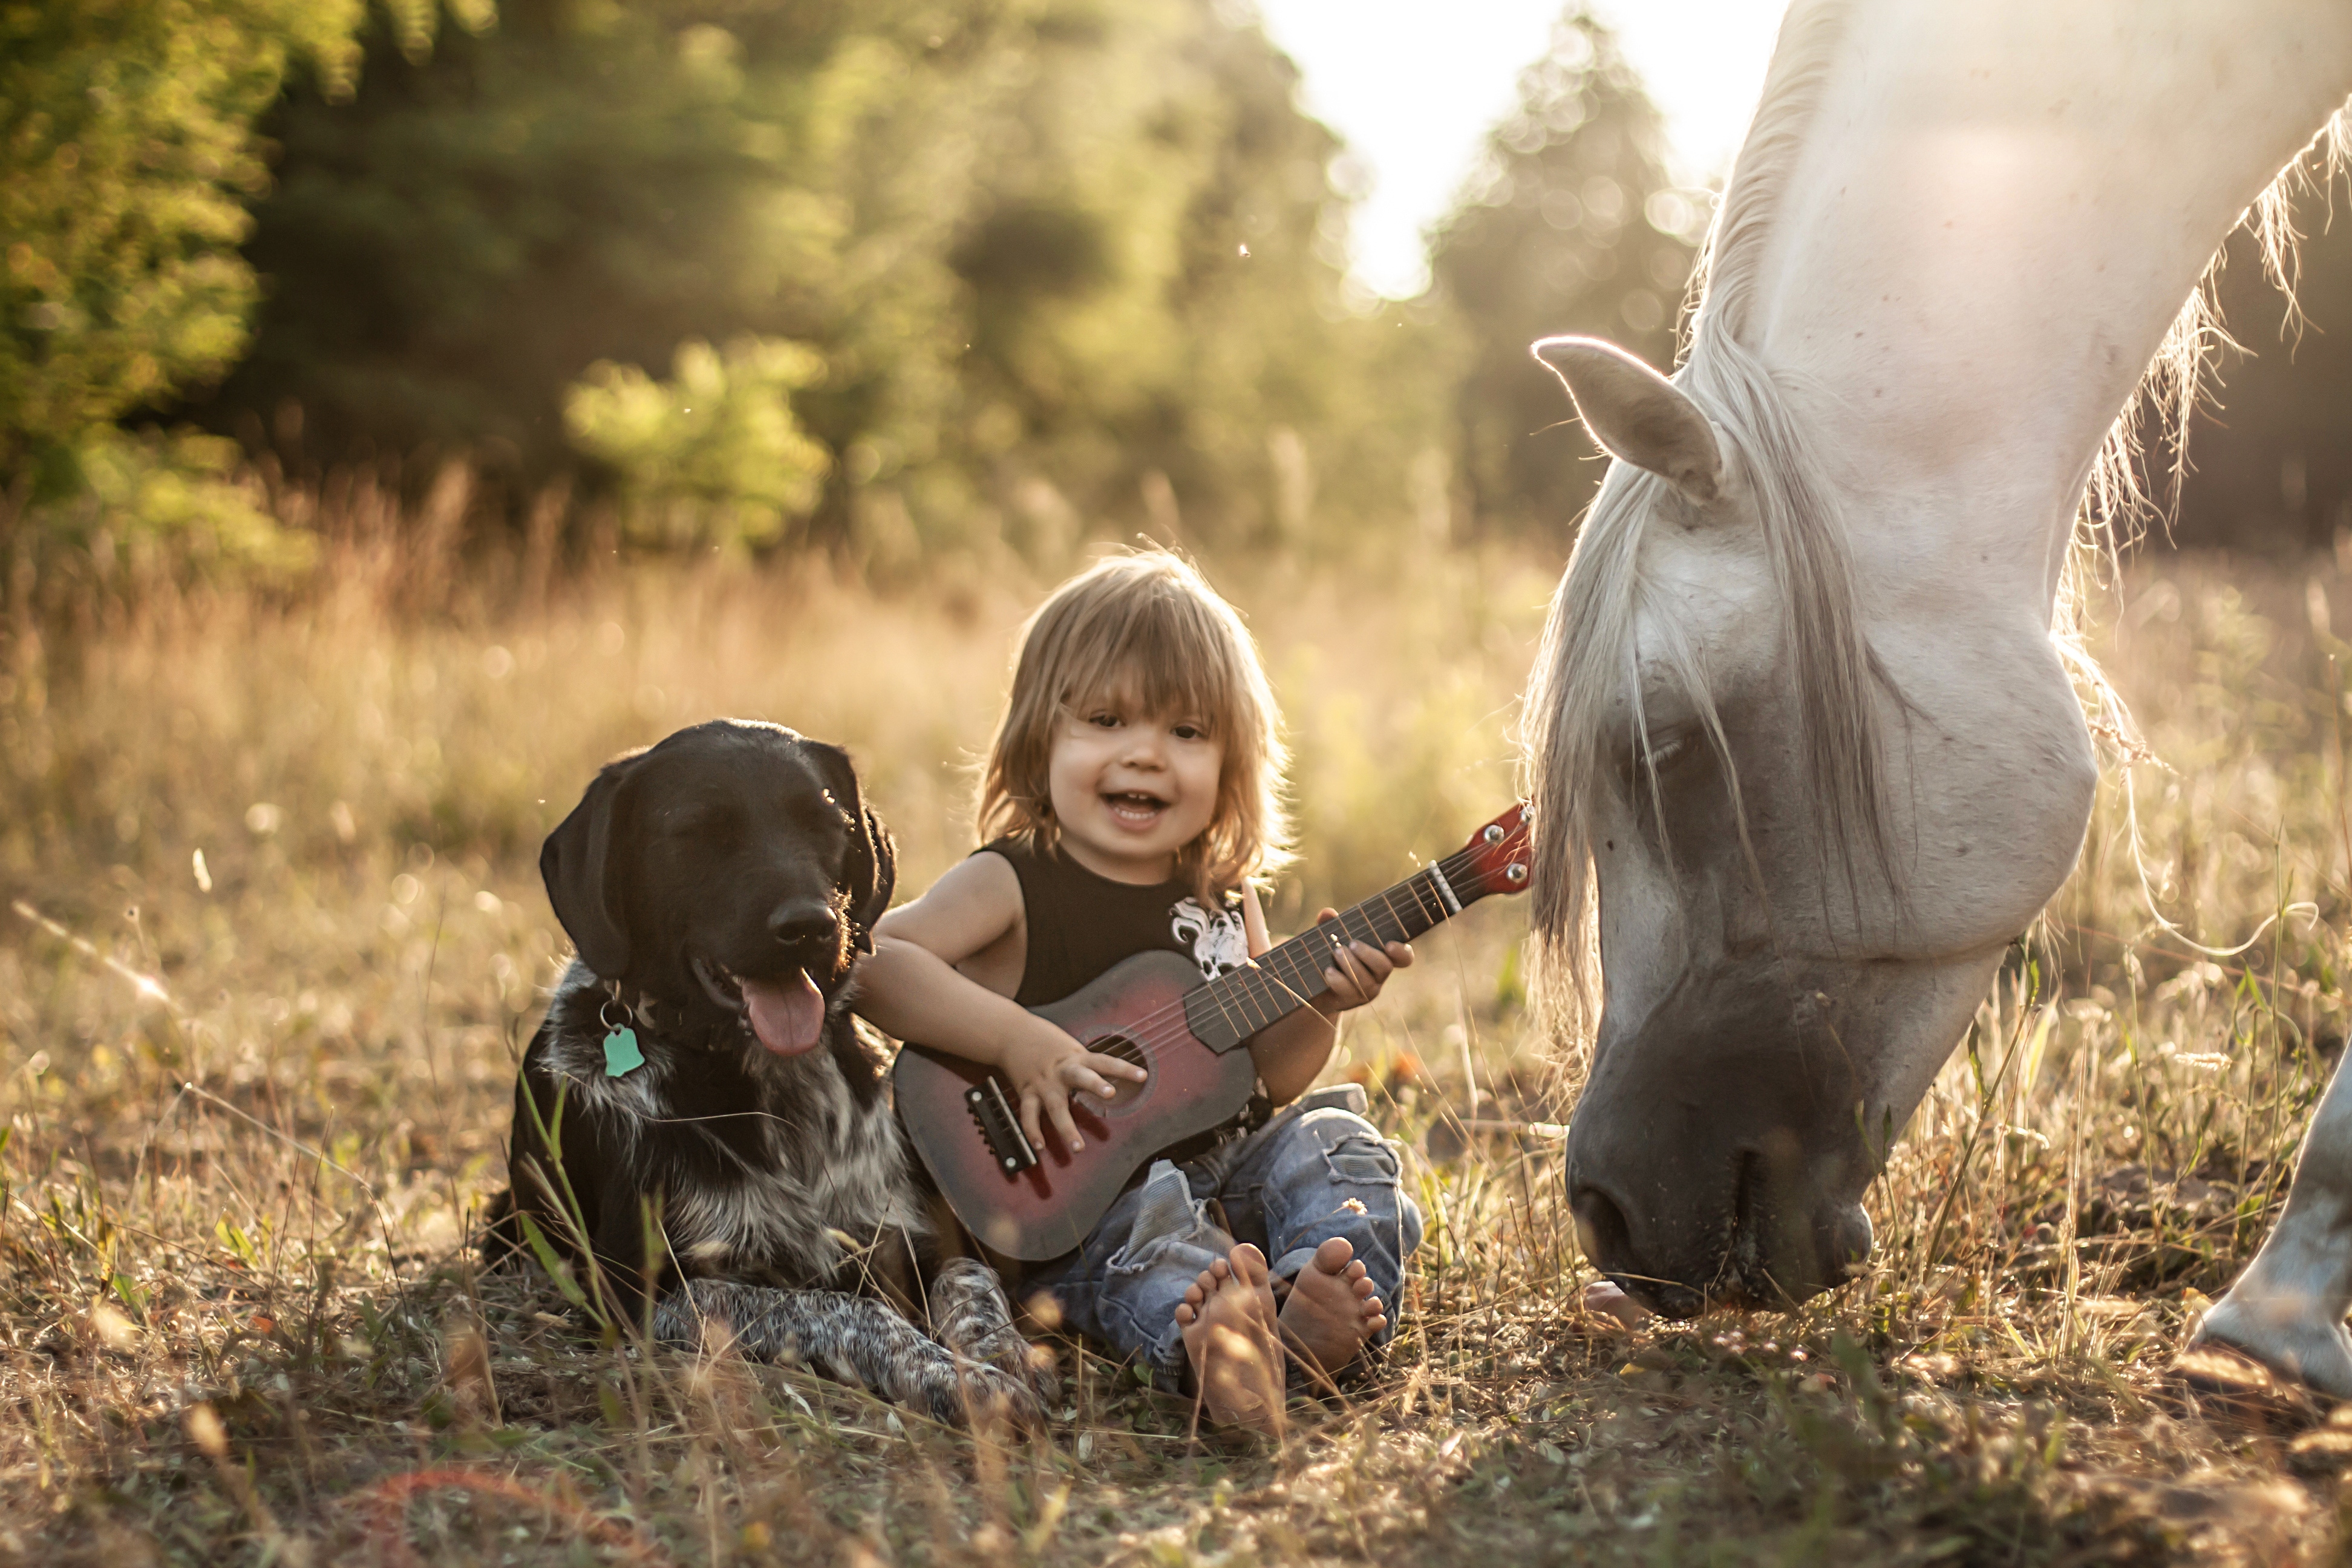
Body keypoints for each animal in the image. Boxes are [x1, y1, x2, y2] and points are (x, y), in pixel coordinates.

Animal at [486, 724, 1049, 1439]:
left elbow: (973, 1282)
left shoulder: (921, 1234)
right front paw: (955, 1378)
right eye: (698, 831)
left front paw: (999, 1355)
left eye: (828, 825)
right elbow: (836, 1308)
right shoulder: (643, 1294)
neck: (772, 1081)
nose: (810, 925)